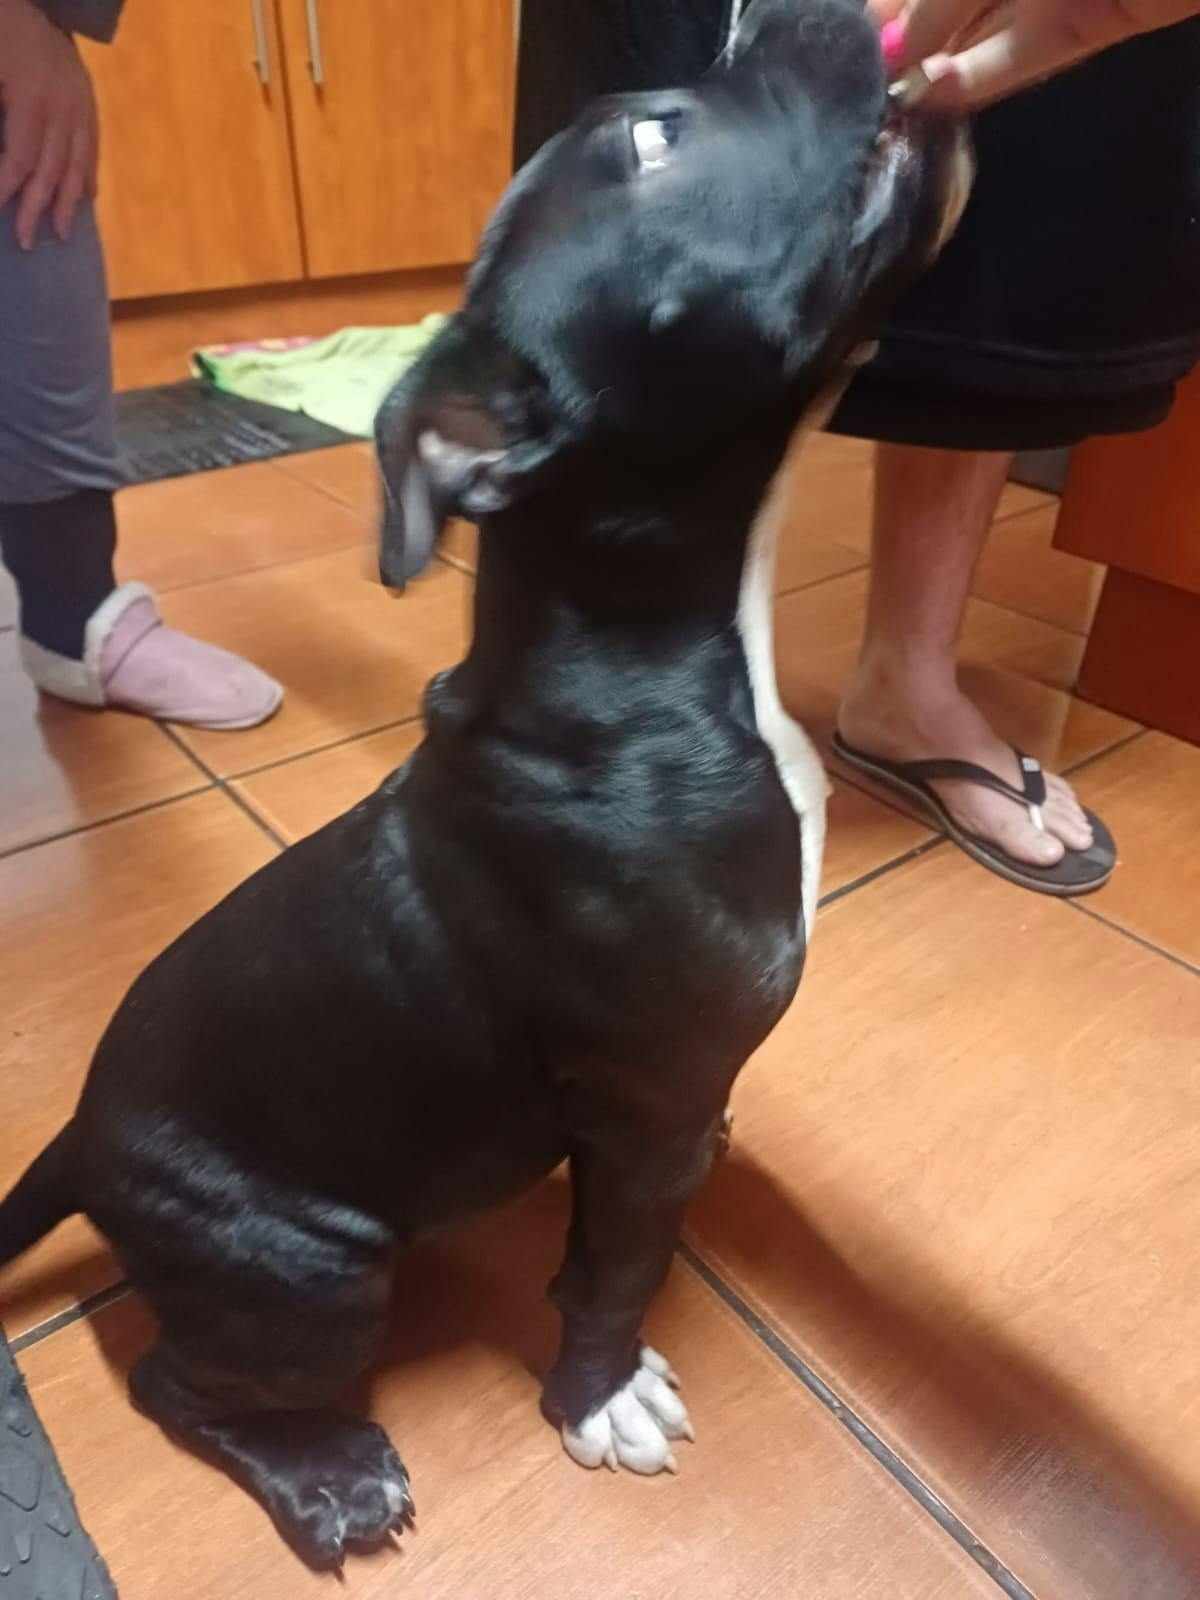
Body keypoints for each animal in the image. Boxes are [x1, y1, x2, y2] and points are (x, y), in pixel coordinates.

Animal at [0, 0, 968, 1569]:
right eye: (653, 136)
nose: (780, 10)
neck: (648, 643)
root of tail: (84, 1138)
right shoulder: (641, 1101)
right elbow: (616, 1266)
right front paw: (597, 1396)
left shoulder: (654, 1109)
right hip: (308, 1271)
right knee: (174, 1384)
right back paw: (331, 1479)